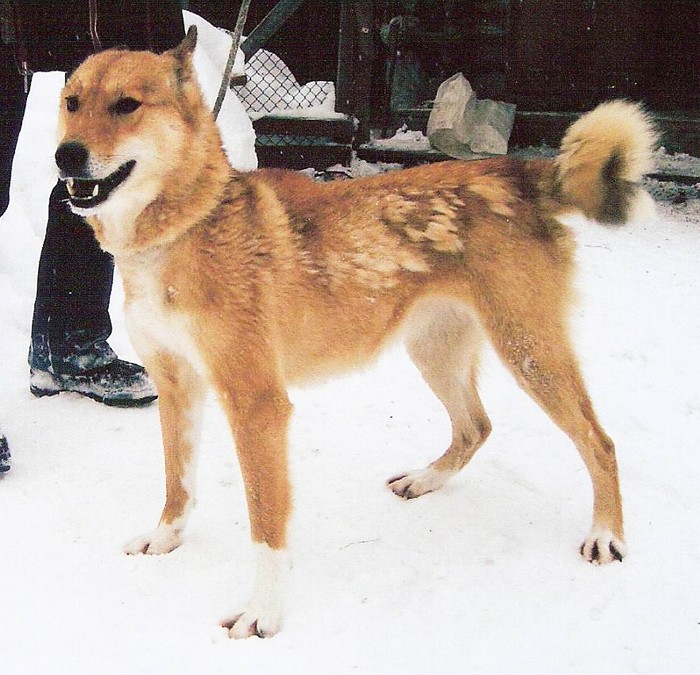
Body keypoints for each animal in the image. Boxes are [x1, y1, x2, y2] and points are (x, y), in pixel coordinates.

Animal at [54, 26, 657, 638]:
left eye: (127, 105)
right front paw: (167, 537)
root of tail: (519, 173)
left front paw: (263, 612)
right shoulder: (177, 386)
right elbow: (177, 481)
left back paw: (606, 533)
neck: (185, 226)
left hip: (529, 352)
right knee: (477, 426)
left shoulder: (257, 405)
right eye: (72, 103)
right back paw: (427, 479)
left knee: (599, 441)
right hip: (434, 350)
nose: (65, 155)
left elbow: (266, 526)